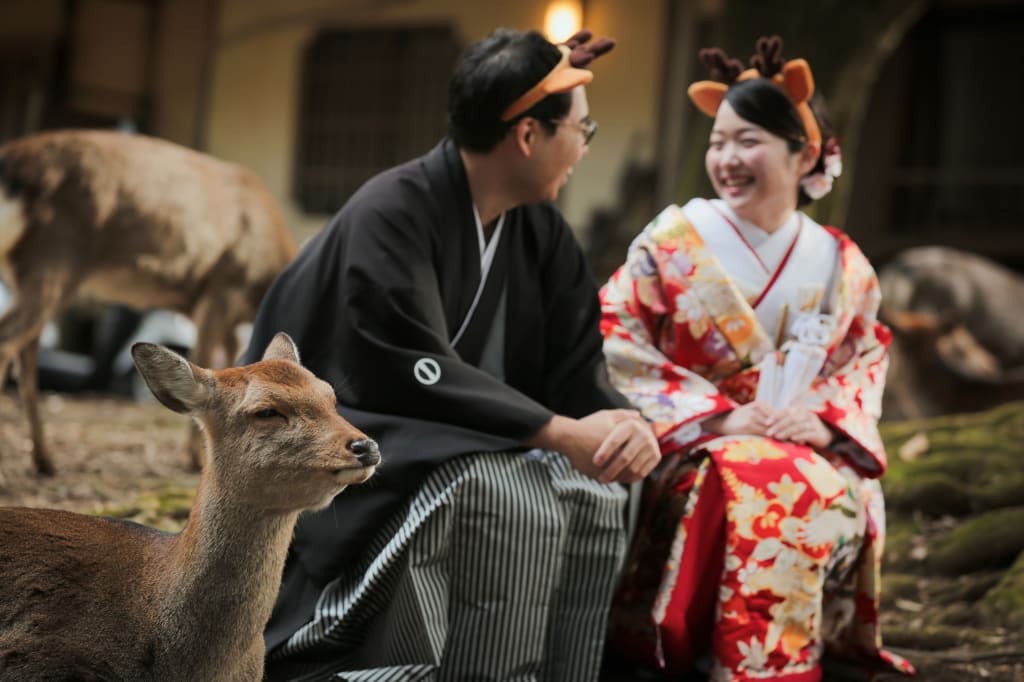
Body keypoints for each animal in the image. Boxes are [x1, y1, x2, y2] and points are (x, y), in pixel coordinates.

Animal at [0, 130, 296, 475]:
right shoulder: (221, 289)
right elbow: (203, 360)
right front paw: (196, 458)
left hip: (34, 270)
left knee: (27, 355)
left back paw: (45, 460)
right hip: (53, 254)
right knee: (10, 341)